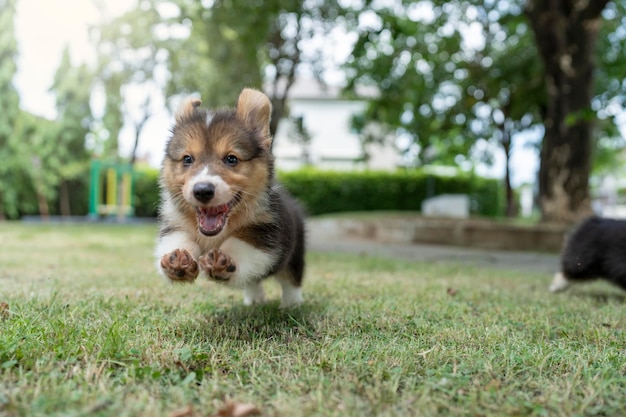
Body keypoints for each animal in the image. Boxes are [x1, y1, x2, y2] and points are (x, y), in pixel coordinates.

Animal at [154, 88, 304, 308]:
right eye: (187, 159)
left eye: (231, 159)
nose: (202, 191)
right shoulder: (174, 226)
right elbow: (179, 240)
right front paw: (178, 259)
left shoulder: (264, 234)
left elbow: (240, 245)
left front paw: (223, 259)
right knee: (253, 281)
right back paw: (255, 299)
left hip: (296, 250)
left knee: (291, 278)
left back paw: (291, 303)